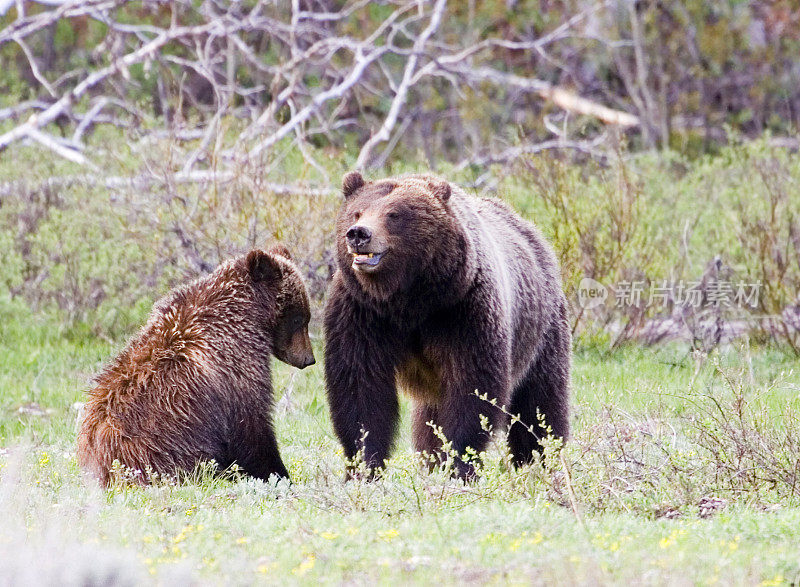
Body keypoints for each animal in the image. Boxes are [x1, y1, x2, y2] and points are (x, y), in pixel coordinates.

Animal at [77, 246, 316, 484]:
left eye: (305, 316)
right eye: (299, 318)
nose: (308, 359)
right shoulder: (234, 368)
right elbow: (250, 427)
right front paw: (277, 474)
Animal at [324, 172, 568, 480]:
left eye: (394, 214)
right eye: (357, 211)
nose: (358, 234)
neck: (409, 299)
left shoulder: (462, 309)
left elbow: (472, 385)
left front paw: (461, 464)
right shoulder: (362, 313)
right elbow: (360, 387)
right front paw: (364, 466)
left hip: (541, 327)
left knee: (540, 401)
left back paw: (541, 460)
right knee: (428, 419)